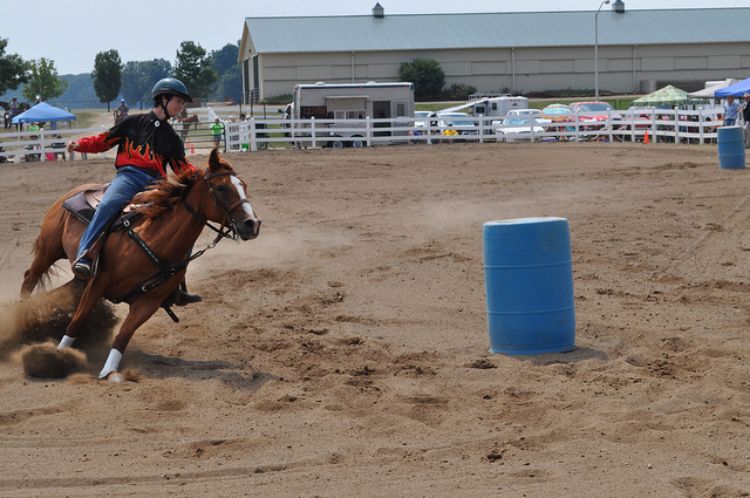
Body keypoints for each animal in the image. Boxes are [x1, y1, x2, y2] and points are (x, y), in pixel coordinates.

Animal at [21, 148, 262, 382]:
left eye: (244, 186)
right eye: (222, 188)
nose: (253, 224)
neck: (154, 240)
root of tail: (76, 190)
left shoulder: (148, 302)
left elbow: (123, 336)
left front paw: (110, 371)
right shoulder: (98, 282)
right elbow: (77, 321)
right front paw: (58, 356)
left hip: (78, 276)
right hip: (49, 250)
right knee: (29, 280)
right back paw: (24, 317)